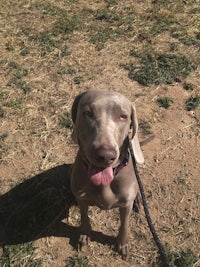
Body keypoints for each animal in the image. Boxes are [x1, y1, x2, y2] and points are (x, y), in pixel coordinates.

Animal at [70, 90, 144, 260]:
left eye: (123, 116)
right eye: (87, 113)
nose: (105, 155)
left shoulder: (125, 205)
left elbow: (124, 224)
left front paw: (122, 244)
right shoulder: (81, 197)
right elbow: (84, 216)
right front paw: (85, 234)